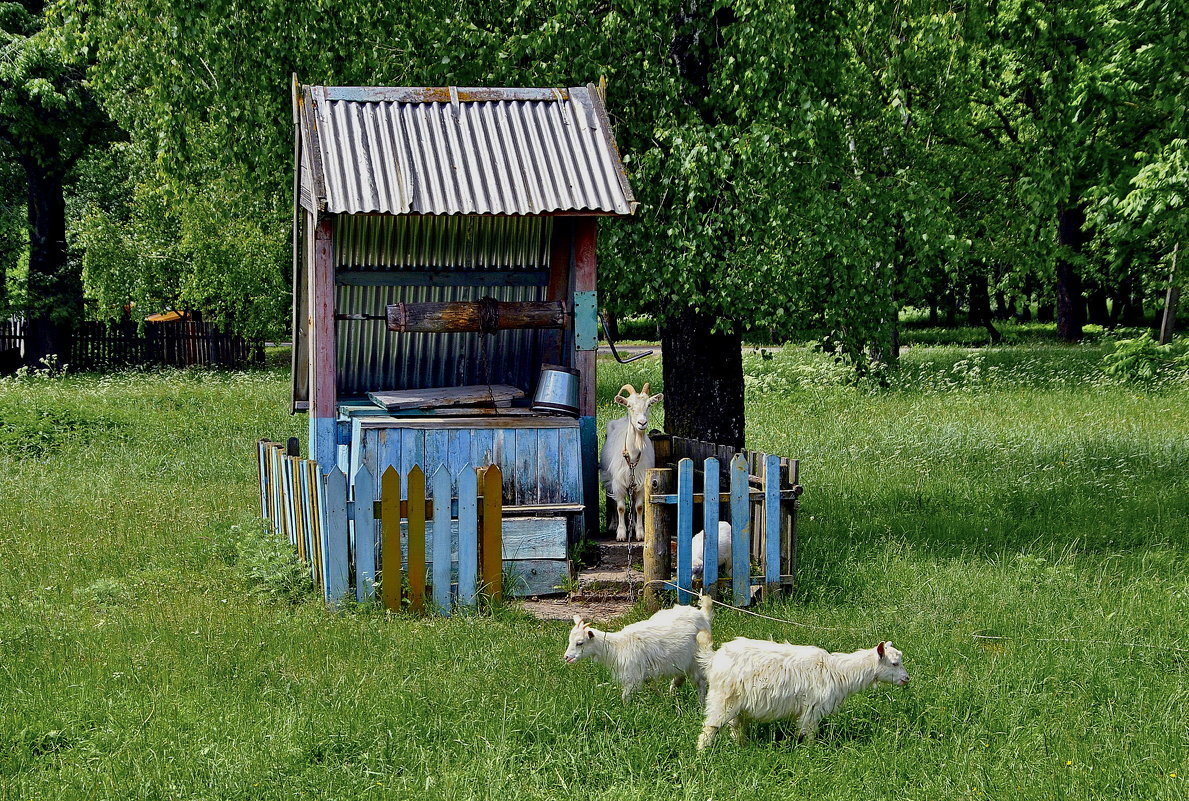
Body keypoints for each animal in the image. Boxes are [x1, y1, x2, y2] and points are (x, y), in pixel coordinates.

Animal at [561, 591, 708, 698]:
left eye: (580, 643)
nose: (566, 657)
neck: (617, 646)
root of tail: (702, 614)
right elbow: (653, 687)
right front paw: (662, 699)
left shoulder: (632, 677)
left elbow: (625, 698)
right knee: (680, 678)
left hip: (697, 660)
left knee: (700, 683)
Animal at [599, 382, 665, 541]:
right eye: (629, 405)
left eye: (649, 405)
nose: (642, 422)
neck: (633, 456)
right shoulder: (618, 482)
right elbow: (621, 507)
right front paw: (621, 533)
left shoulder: (640, 482)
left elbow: (639, 507)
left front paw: (640, 533)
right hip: (608, 478)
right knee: (612, 501)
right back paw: (613, 525)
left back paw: (634, 524)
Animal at [694, 632, 908, 751]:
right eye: (894, 663)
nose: (907, 679)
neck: (838, 671)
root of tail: (714, 658)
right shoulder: (812, 709)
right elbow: (809, 734)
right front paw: (810, 753)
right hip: (722, 699)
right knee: (709, 728)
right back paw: (702, 755)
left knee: (735, 727)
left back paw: (742, 747)